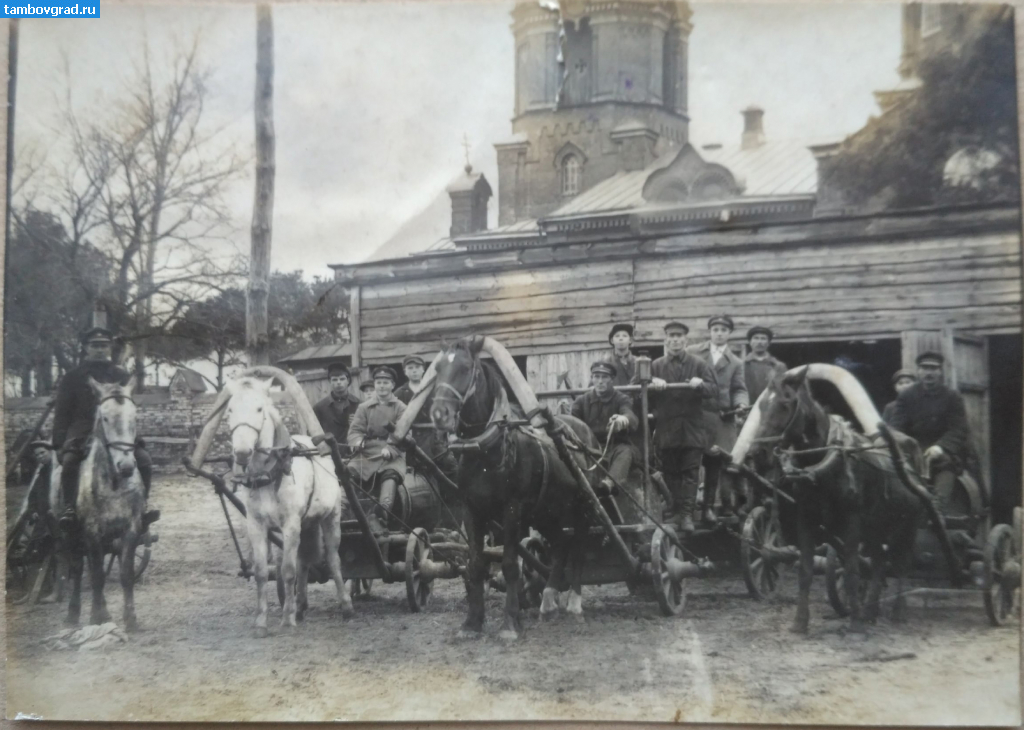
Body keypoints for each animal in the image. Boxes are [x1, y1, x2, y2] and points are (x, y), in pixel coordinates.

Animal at [66, 380, 146, 626]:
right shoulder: (92, 532)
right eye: (105, 418)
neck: (114, 485)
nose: (126, 466)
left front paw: (130, 618)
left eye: (134, 417)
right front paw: (95, 617)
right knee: (78, 568)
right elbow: (97, 576)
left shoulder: (131, 529)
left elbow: (125, 574)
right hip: (67, 535)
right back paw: (74, 614)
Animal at [224, 376, 352, 630]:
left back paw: (345, 606)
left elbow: (288, 570)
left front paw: (286, 619)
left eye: (259, 409)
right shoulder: (256, 525)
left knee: (334, 560)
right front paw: (261, 621)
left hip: (330, 518)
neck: (269, 476)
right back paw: (300, 606)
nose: (242, 452)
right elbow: (262, 572)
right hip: (307, 523)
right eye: (230, 409)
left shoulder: (290, 524)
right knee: (304, 562)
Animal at [430, 335, 598, 638]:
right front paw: (472, 623)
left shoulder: (512, 509)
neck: (488, 448)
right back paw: (548, 601)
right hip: (547, 512)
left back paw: (574, 603)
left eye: (465, 368)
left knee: (578, 546)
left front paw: (510, 623)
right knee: (560, 544)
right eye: (437, 369)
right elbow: (476, 564)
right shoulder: (472, 510)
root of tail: (584, 430)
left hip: (581, 507)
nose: (439, 414)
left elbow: (509, 565)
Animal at [749, 370, 925, 630]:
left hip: (906, 526)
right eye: (761, 406)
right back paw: (870, 611)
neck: (823, 464)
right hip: (875, 528)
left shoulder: (851, 522)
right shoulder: (806, 519)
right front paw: (800, 623)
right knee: (879, 562)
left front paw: (855, 624)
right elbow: (805, 571)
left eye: (785, 403)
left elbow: (851, 570)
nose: (757, 454)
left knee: (901, 563)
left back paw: (897, 612)